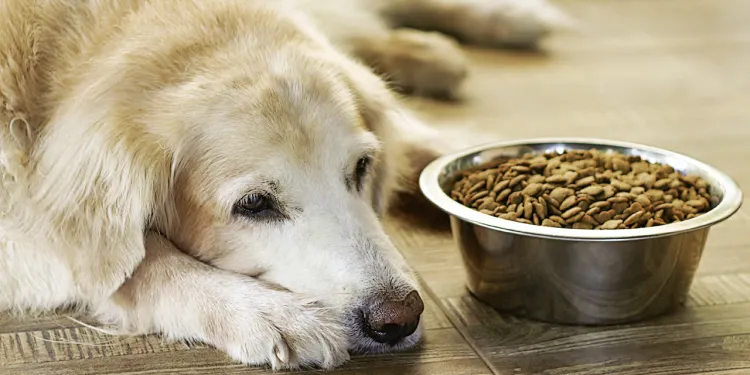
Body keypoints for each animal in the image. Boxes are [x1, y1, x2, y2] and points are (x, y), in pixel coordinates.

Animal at [0, 0, 572, 372]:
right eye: (254, 204)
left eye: (361, 168)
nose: (399, 318)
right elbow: (138, 260)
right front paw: (266, 313)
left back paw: (493, 28)